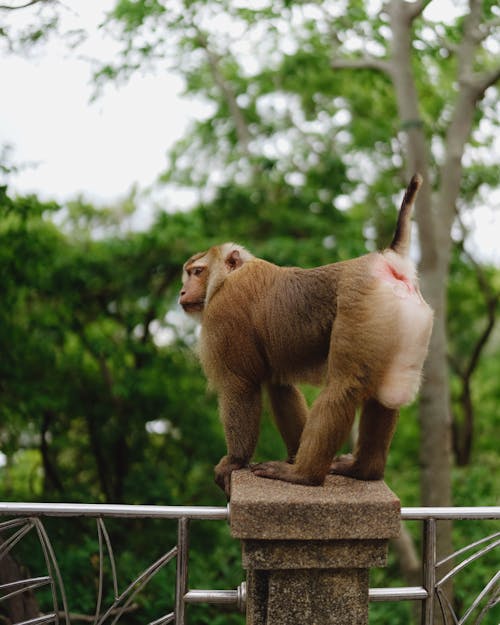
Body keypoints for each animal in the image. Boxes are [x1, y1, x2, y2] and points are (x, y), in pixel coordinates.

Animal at [180, 173, 434, 494]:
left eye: (197, 272)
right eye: (188, 273)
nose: (182, 291)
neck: (228, 278)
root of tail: (387, 262)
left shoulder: (223, 314)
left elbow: (241, 385)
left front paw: (234, 461)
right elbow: (279, 385)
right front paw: (292, 453)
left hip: (362, 306)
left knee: (343, 387)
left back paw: (304, 475)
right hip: (409, 323)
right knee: (387, 393)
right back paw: (363, 470)